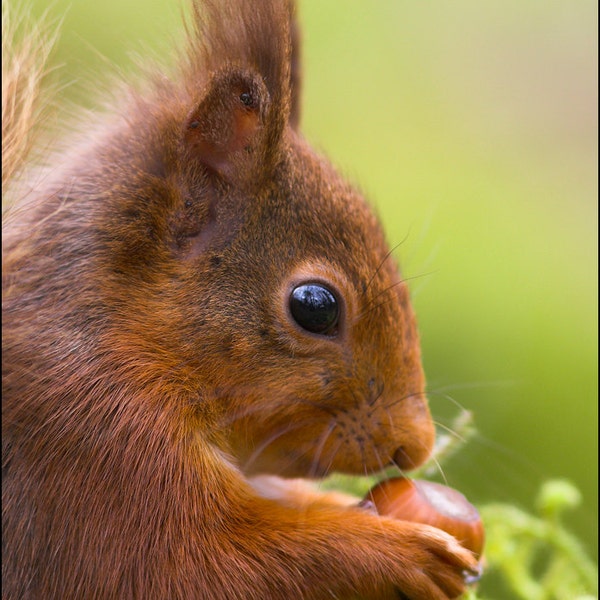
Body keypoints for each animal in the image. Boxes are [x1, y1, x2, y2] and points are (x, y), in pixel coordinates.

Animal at [1, 1, 478, 600]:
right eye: (315, 306)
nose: (414, 448)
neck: (114, 325)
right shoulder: (88, 440)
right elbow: (192, 568)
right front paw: (401, 552)